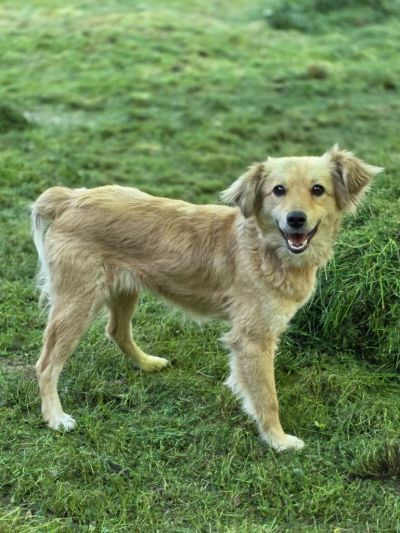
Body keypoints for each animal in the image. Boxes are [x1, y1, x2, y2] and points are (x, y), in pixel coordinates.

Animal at [32, 146, 382, 451]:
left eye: (318, 189)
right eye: (278, 190)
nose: (295, 219)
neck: (265, 249)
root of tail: (70, 198)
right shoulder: (253, 339)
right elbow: (268, 397)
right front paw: (277, 440)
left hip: (124, 290)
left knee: (116, 331)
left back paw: (147, 363)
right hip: (77, 304)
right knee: (46, 364)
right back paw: (55, 417)